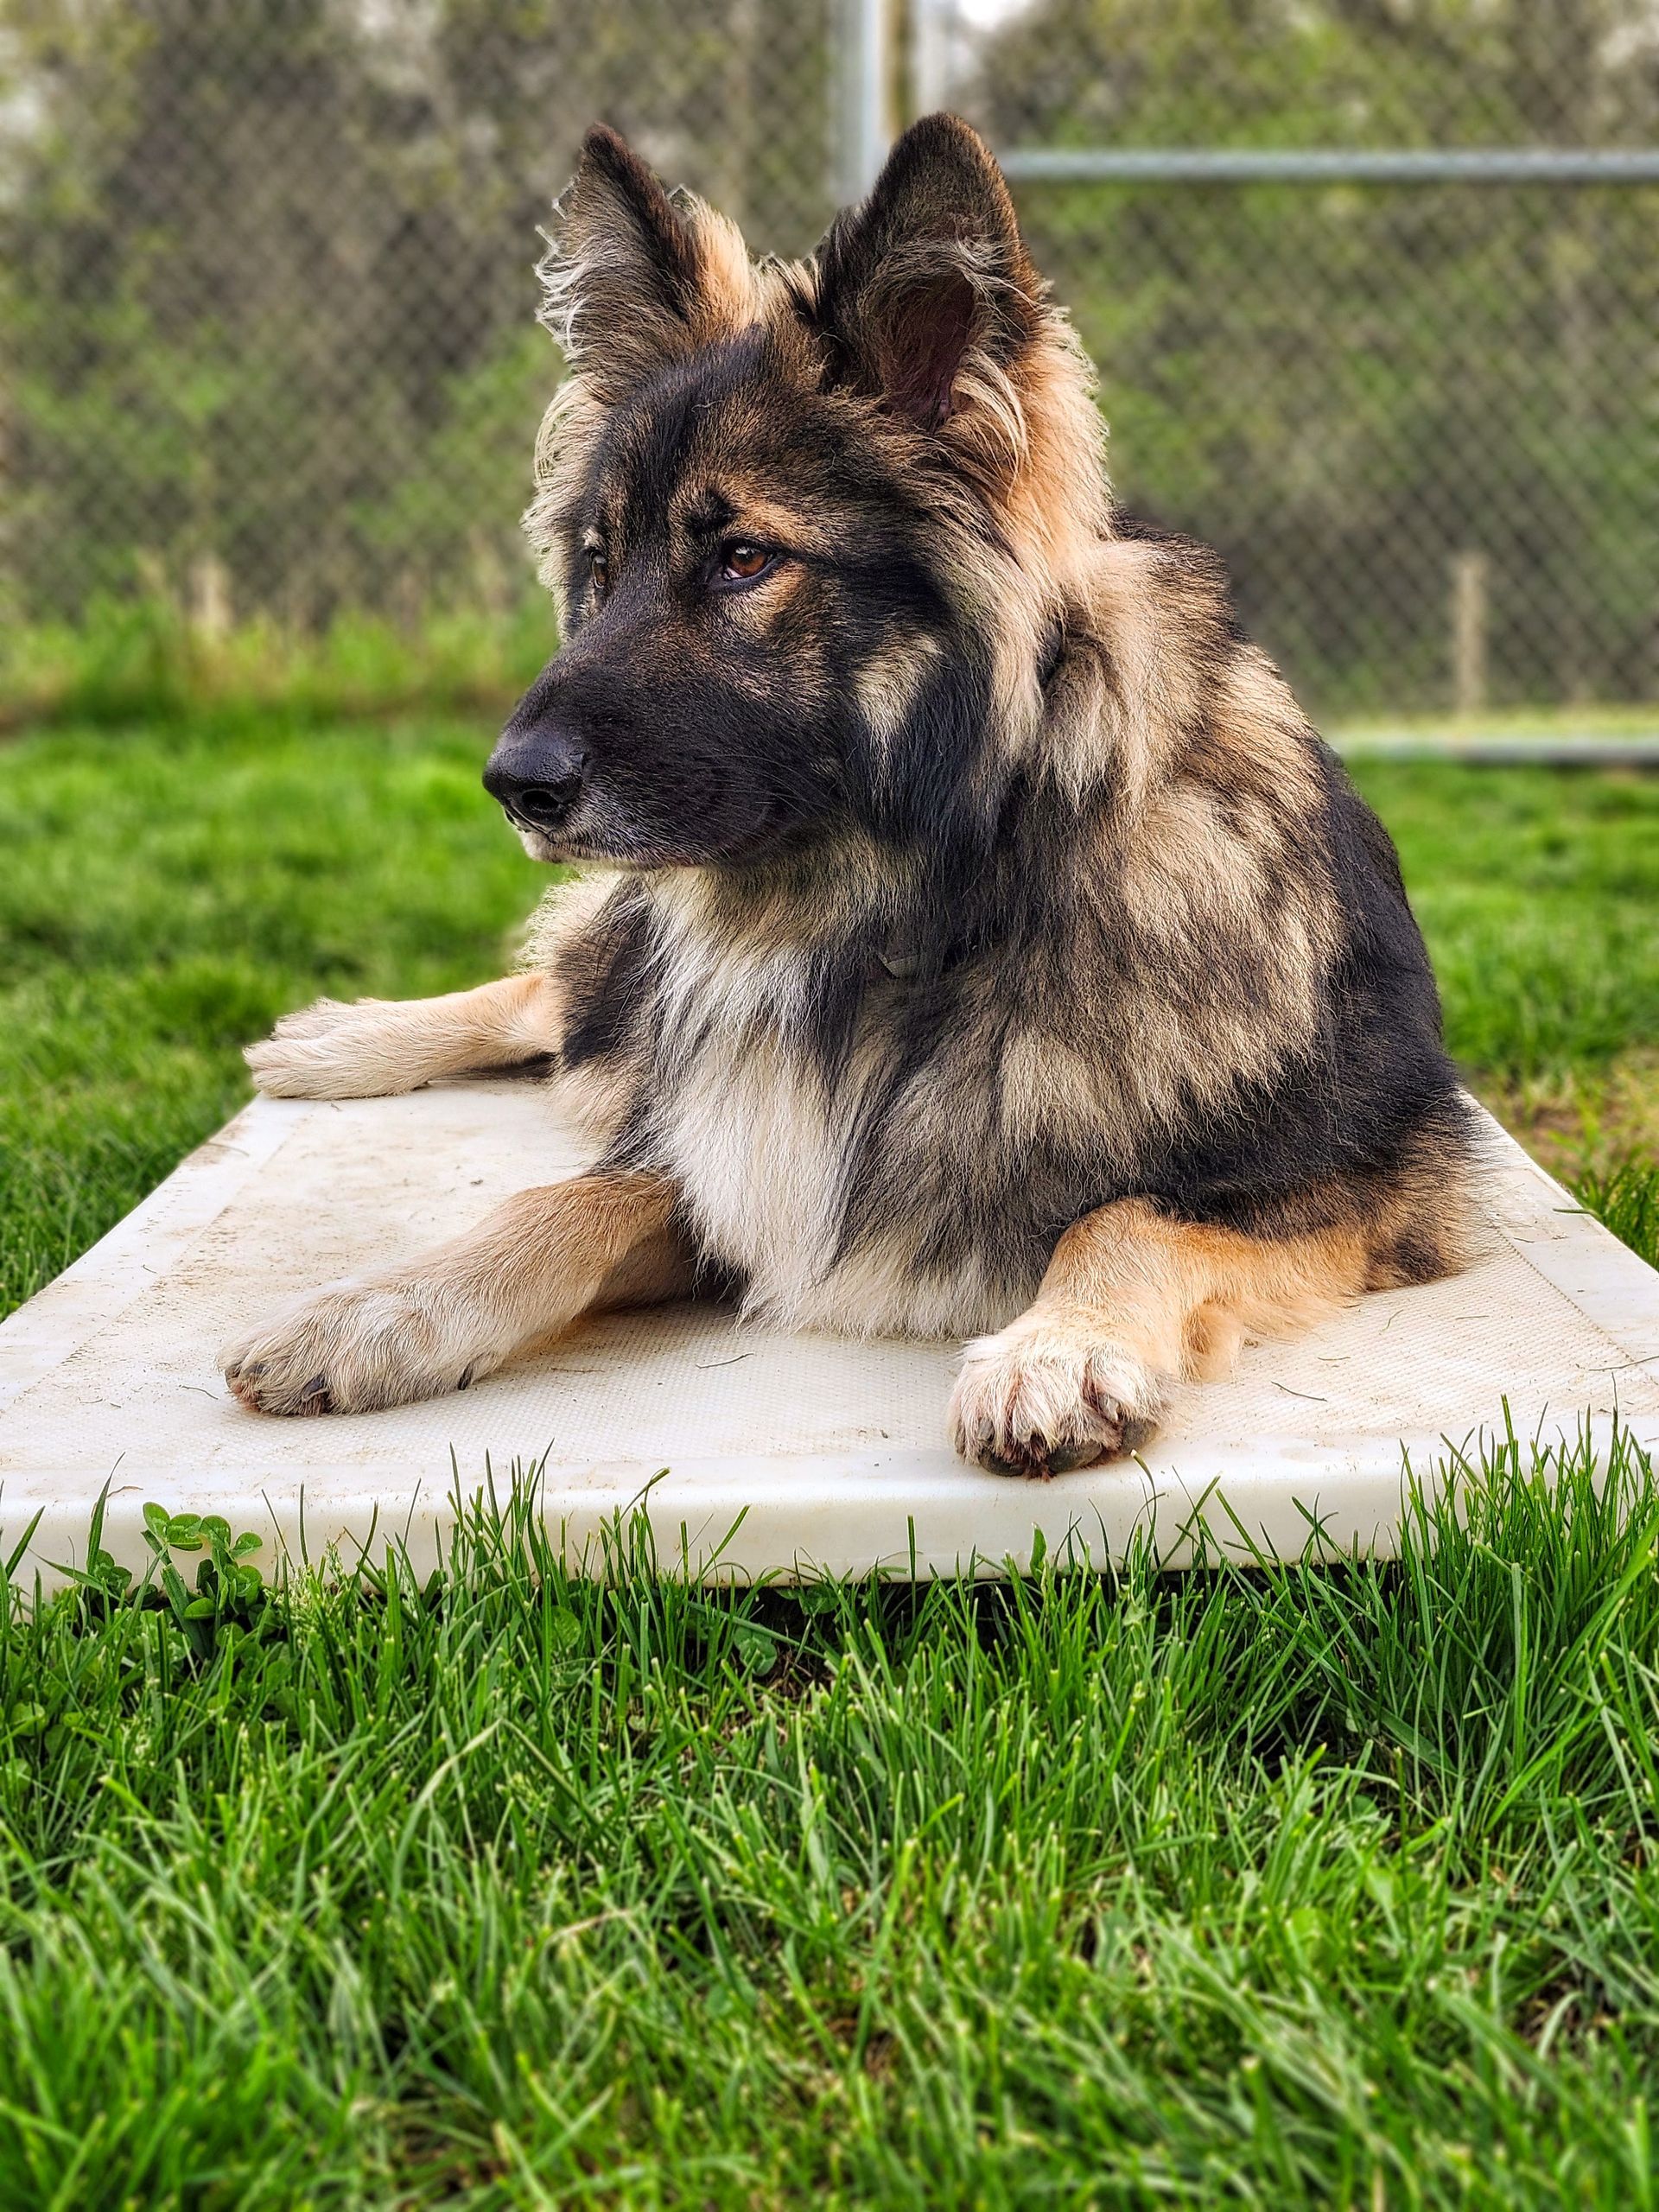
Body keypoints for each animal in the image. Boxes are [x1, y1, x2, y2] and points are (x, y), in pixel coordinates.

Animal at [221, 111, 1478, 1478]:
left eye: (743, 559)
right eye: (599, 566)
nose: (511, 786)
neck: (912, 915)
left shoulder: (1381, 1180)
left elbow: (1125, 1214)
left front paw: (1058, 1348)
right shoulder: (731, 1165)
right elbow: (568, 1199)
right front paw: (380, 1307)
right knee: (561, 994)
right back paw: (341, 1041)